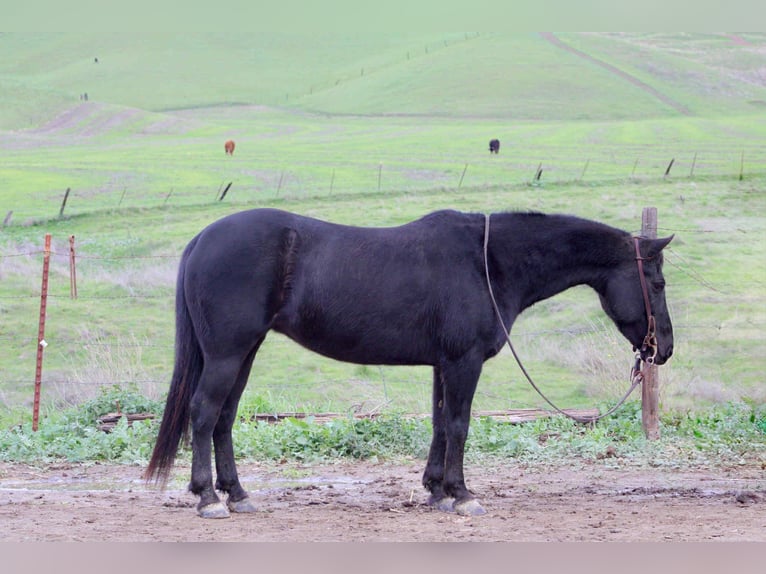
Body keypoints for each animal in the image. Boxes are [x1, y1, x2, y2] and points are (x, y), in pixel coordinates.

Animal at [145, 208, 674, 518]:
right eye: (659, 282)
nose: (663, 349)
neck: (488, 262)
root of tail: (202, 239)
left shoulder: (444, 363)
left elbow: (440, 424)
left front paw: (436, 490)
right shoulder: (464, 362)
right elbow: (459, 424)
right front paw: (462, 495)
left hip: (243, 353)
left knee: (224, 418)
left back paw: (237, 494)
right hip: (228, 353)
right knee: (204, 413)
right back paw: (208, 498)